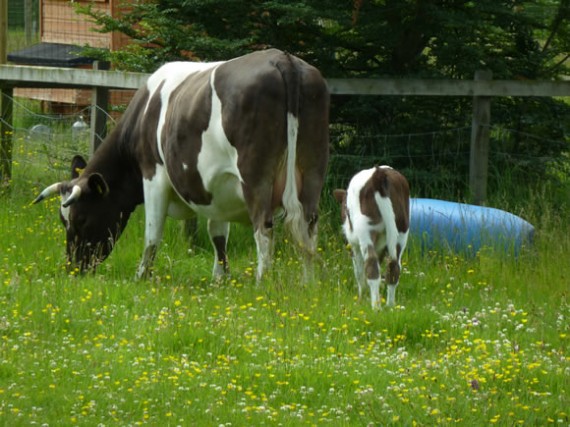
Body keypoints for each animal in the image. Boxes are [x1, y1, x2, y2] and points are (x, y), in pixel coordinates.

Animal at [32, 49, 328, 280]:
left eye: (79, 218)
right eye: (62, 220)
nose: (73, 268)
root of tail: (282, 59)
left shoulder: (153, 175)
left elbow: (153, 232)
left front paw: (142, 275)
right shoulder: (217, 188)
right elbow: (218, 234)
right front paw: (220, 278)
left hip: (255, 176)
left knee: (264, 228)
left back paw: (262, 282)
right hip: (312, 170)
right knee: (309, 227)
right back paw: (308, 284)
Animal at [332, 166, 408, 310]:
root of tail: (378, 175)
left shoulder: (353, 245)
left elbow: (358, 270)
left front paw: (362, 296)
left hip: (364, 230)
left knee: (371, 266)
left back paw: (376, 308)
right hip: (402, 230)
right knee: (394, 267)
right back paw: (390, 306)